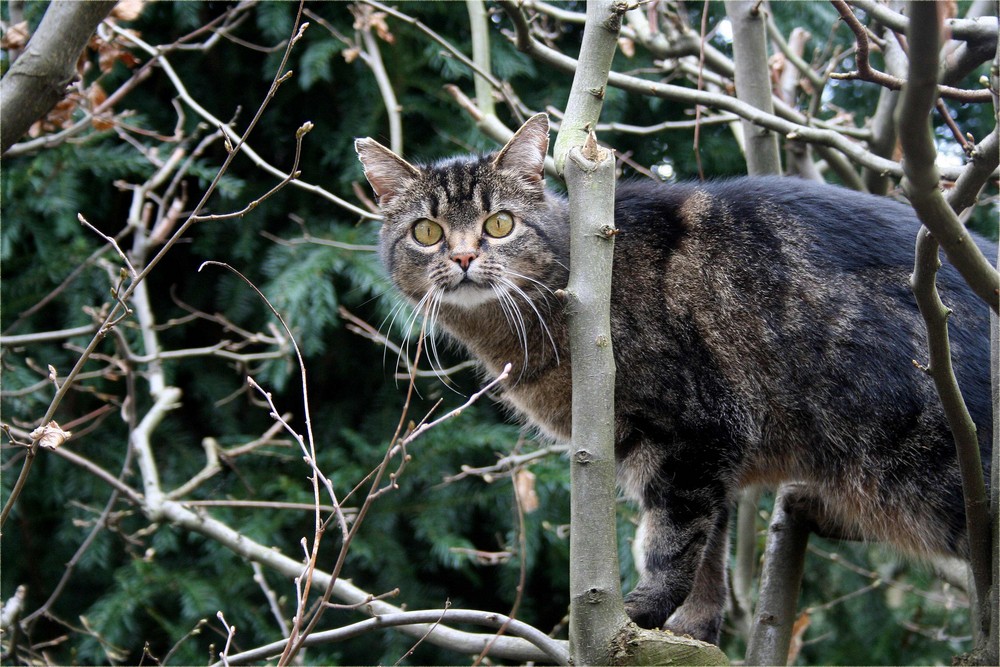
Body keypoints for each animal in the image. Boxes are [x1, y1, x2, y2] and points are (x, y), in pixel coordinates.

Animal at [356, 115, 996, 648]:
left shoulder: (699, 431)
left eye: (499, 223)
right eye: (427, 232)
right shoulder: (696, 459)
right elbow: (708, 553)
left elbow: (673, 541)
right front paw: (692, 632)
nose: (463, 258)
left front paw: (639, 616)